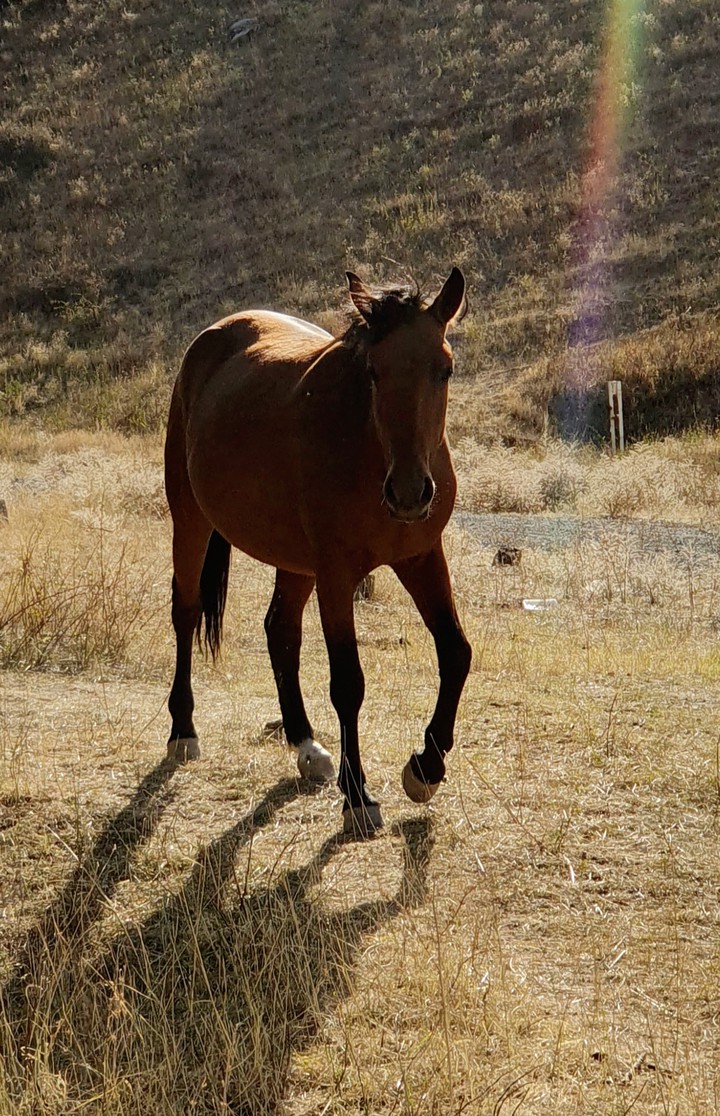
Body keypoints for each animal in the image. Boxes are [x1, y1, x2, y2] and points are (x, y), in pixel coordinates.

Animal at [164, 268, 472, 836]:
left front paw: (425, 767)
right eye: (373, 371)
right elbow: (348, 682)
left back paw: (306, 745)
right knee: (186, 612)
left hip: (294, 561)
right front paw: (358, 798)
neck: (367, 448)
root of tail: (214, 335)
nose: (410, 493)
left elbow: (455, 652)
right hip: (190, 520)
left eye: (445, 369)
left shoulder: (420, 556)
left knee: (280, 629)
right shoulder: (336, 573)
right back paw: (183, 730)